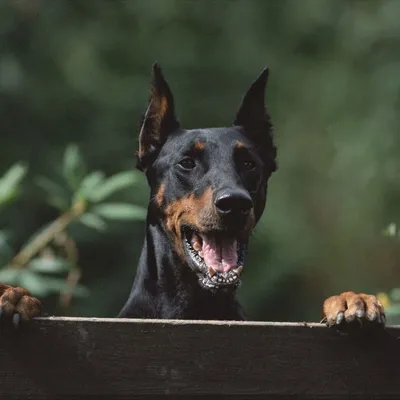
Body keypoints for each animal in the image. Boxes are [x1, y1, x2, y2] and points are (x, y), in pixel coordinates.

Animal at [0, 64, 386, 330]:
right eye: (187, 162)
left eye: (249, 163)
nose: (234, 203)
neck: (193, 307)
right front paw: (16, 296)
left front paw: (351, 300)